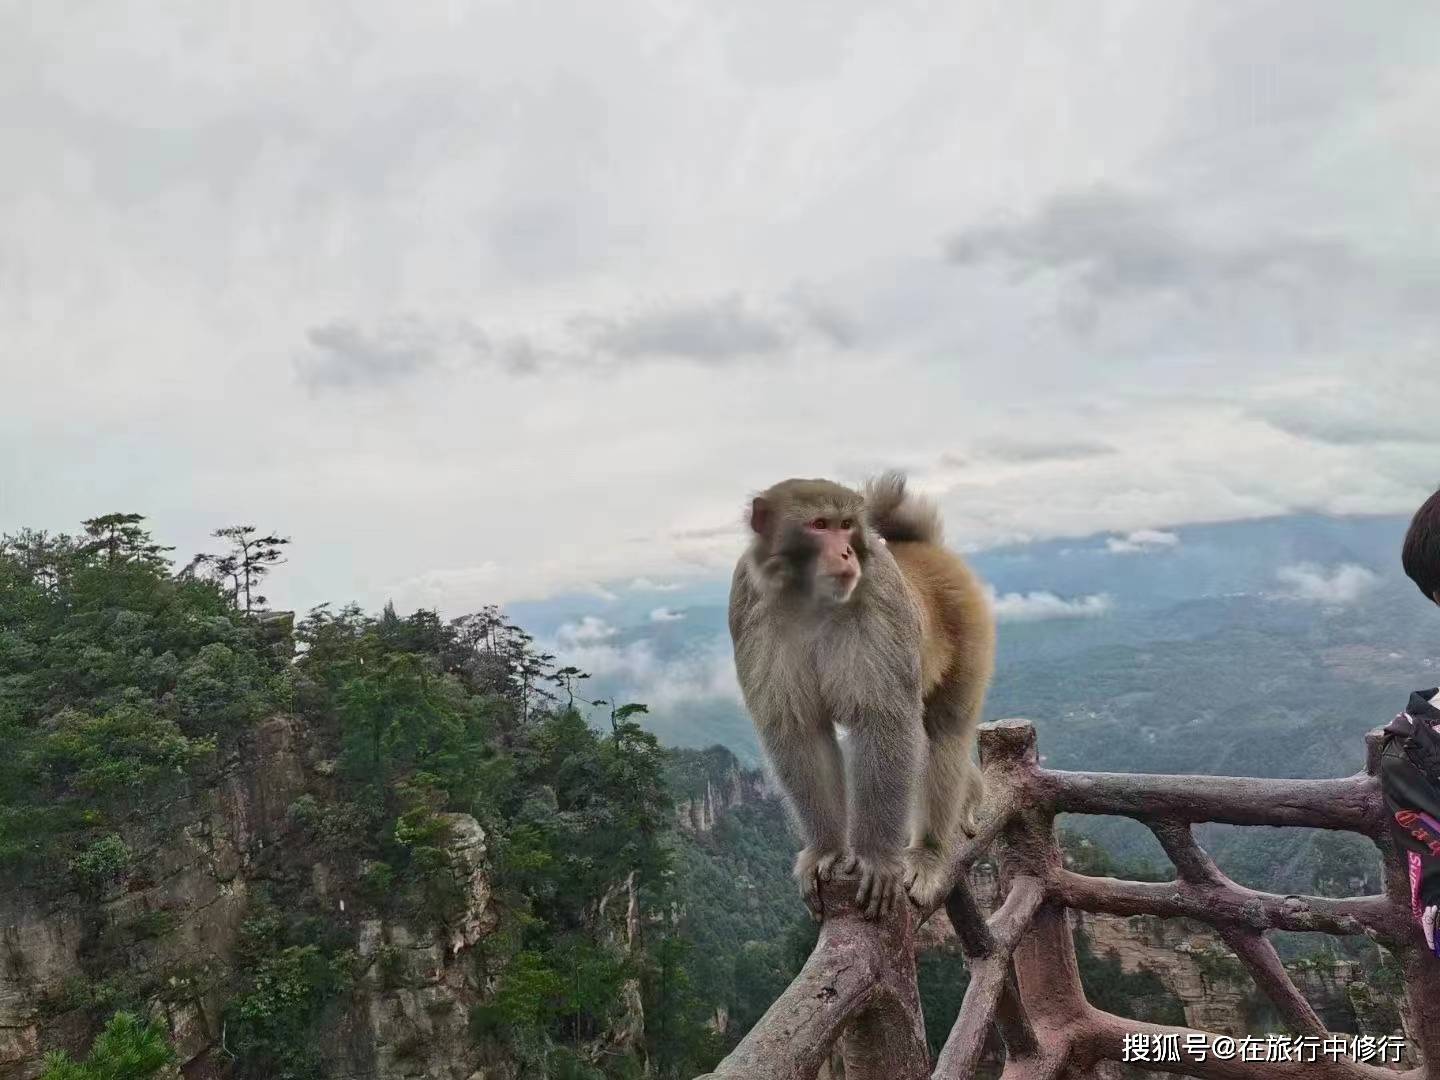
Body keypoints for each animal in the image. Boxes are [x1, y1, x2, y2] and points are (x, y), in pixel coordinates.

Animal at [725, 472, 996, 921]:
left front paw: (875, 859)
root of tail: (923, 549)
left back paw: (929, 851)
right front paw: (826, 849)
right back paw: (971, 792)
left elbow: (882, 719)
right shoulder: (748, 605)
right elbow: (798, 730)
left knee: (945, 732)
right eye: (820, 525)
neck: (809, 597)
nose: (847, 551)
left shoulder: (881, 599)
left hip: (971, 626)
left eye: (847, 524)